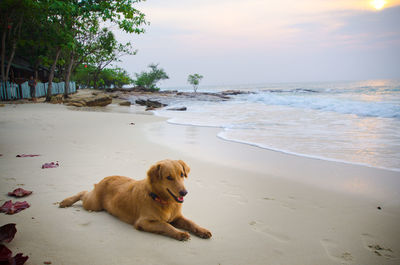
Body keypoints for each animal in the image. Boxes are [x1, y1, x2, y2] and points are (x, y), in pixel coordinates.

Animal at [59, 158, 212, 240]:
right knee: (83, 192)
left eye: (181, 174)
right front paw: (179, 233)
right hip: (93, 204)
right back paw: (66, 201)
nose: (184, 192)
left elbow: (191, 222)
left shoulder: (177, 217)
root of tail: (106, 177)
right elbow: (165, 225)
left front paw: (202, 231)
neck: (162, 200)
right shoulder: (143, 222)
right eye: (169, 177)